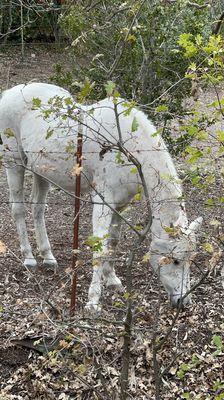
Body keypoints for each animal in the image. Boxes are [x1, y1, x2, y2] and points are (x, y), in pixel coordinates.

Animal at [0, 82, 202, 312]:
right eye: (175, 260)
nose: (183, 302)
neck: (130, 151)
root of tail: (10, 93)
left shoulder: (120, 205)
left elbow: (112, 242)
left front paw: (112, 279)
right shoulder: (104, 203)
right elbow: (100, 246)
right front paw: (93, 301)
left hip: (40, 171)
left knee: (37, 208)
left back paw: (48, 257)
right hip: (14, 162)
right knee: (18, 209)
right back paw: (29, 259)